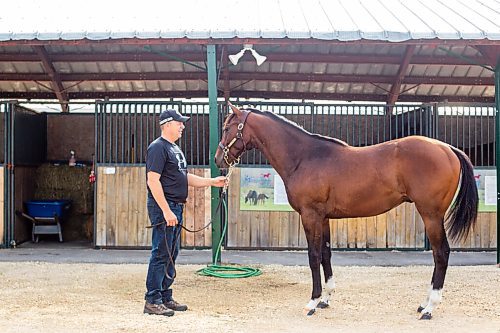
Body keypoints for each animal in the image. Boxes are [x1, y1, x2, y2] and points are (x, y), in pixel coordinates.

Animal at [214, 102, 476, 318]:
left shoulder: (310, 215)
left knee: (441, 253)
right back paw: (424, 304)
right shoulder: (323, 218)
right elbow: (325, 254)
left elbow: (313, 256)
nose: (218, 159)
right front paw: (325, 299)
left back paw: (430, 307)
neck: (304, 157)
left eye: (227, 128)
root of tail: (447, 148)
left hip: (431, 215)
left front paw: (312, 302)